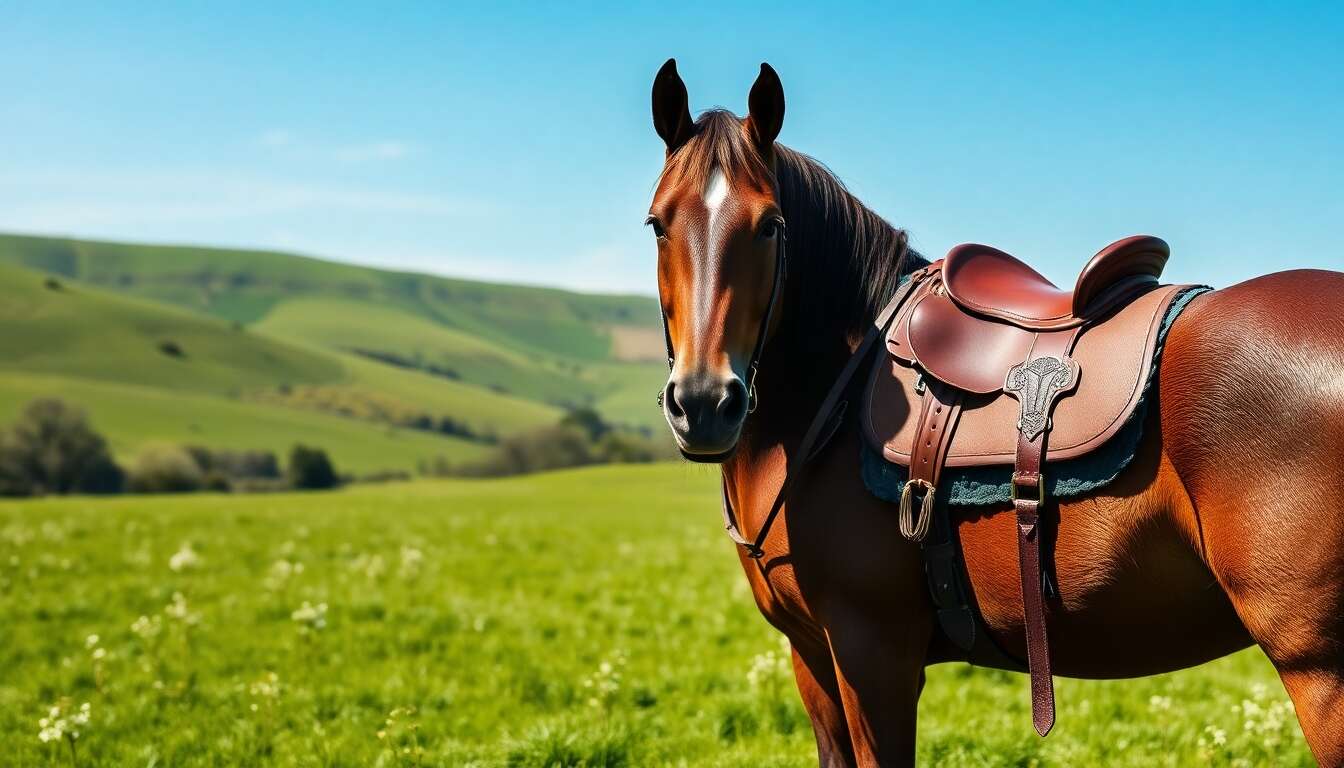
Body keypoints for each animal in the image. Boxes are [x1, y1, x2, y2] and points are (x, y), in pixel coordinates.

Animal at [645, 59, 1344, 766]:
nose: (704, 403)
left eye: (769, 225)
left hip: (1320, 673)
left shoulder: (872, 653)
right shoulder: (810, 654)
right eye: (658, 223)